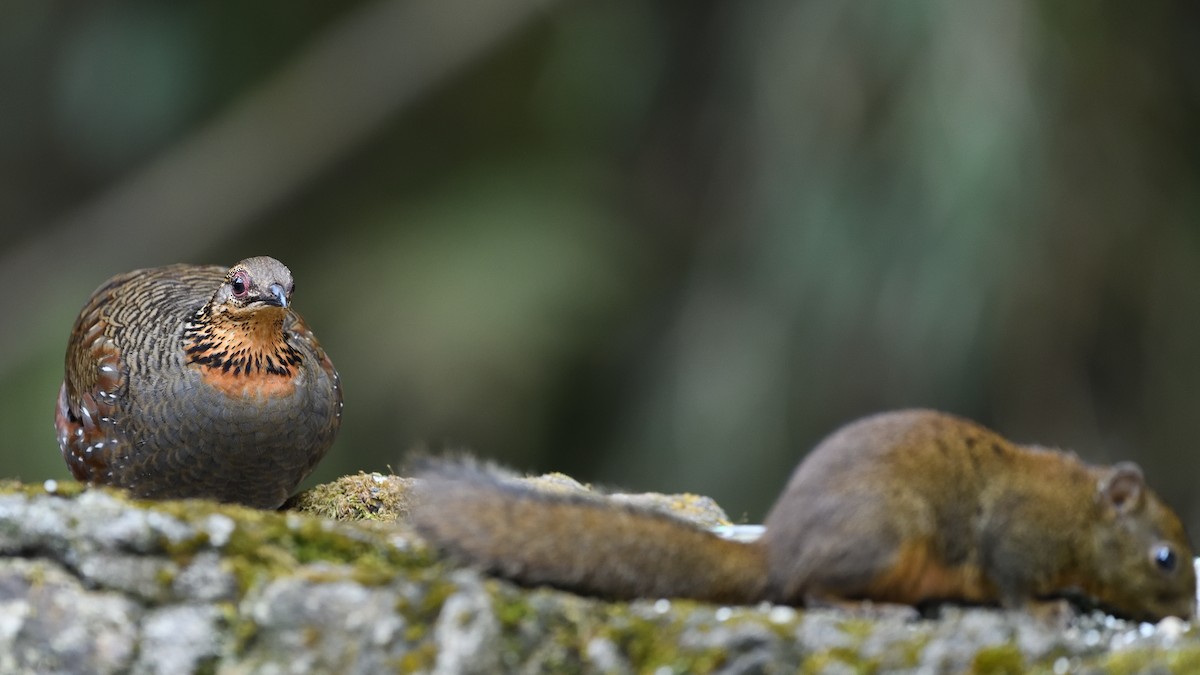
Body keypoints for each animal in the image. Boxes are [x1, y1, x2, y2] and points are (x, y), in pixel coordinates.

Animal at [408, 408, 1195, 619]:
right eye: (1165, 557)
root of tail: (775, 549)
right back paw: (866, 606)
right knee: (807, 589)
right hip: (882, 540)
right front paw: (1046, 611)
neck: (1081, 512)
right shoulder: (1017, 538)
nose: (1191, 613)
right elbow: (1010, 585)